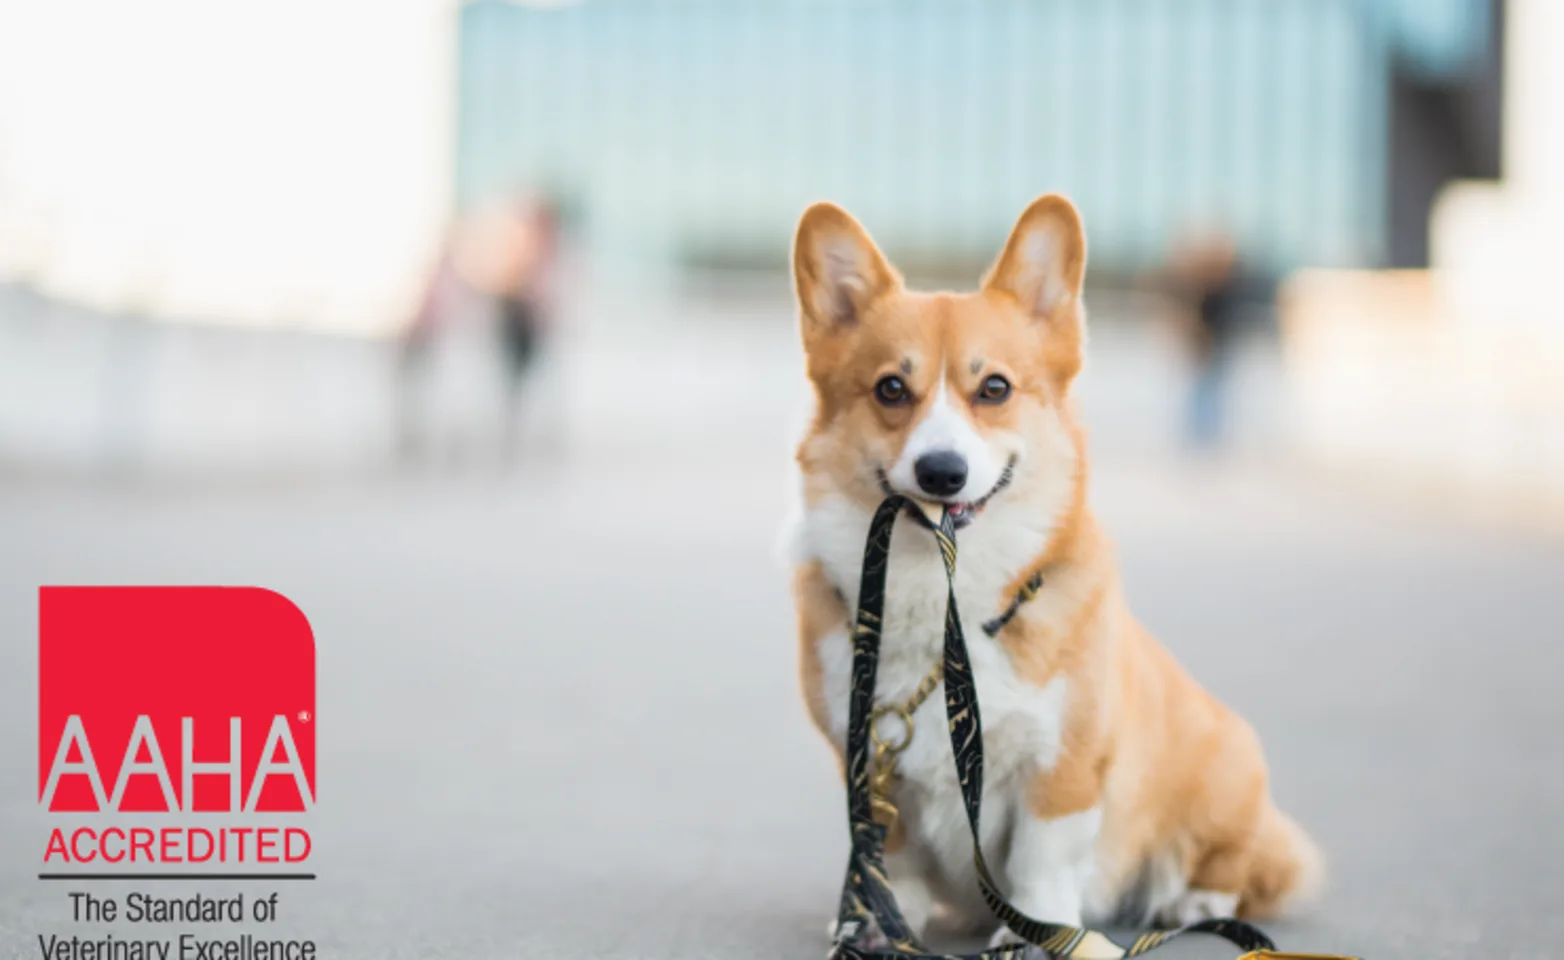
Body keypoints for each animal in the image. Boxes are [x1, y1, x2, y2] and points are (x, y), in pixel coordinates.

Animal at [788, 195, 1313, 950]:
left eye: (994, 388)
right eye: (890, 388)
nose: (941, 471)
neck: (944, 603)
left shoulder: (1064, 764)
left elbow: (1041, 858)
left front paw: (1034, 934)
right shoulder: (870, 765)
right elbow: (894, 851)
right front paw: (884, 922)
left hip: (1224, 771)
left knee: (1244, 863)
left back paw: (1192, 900)